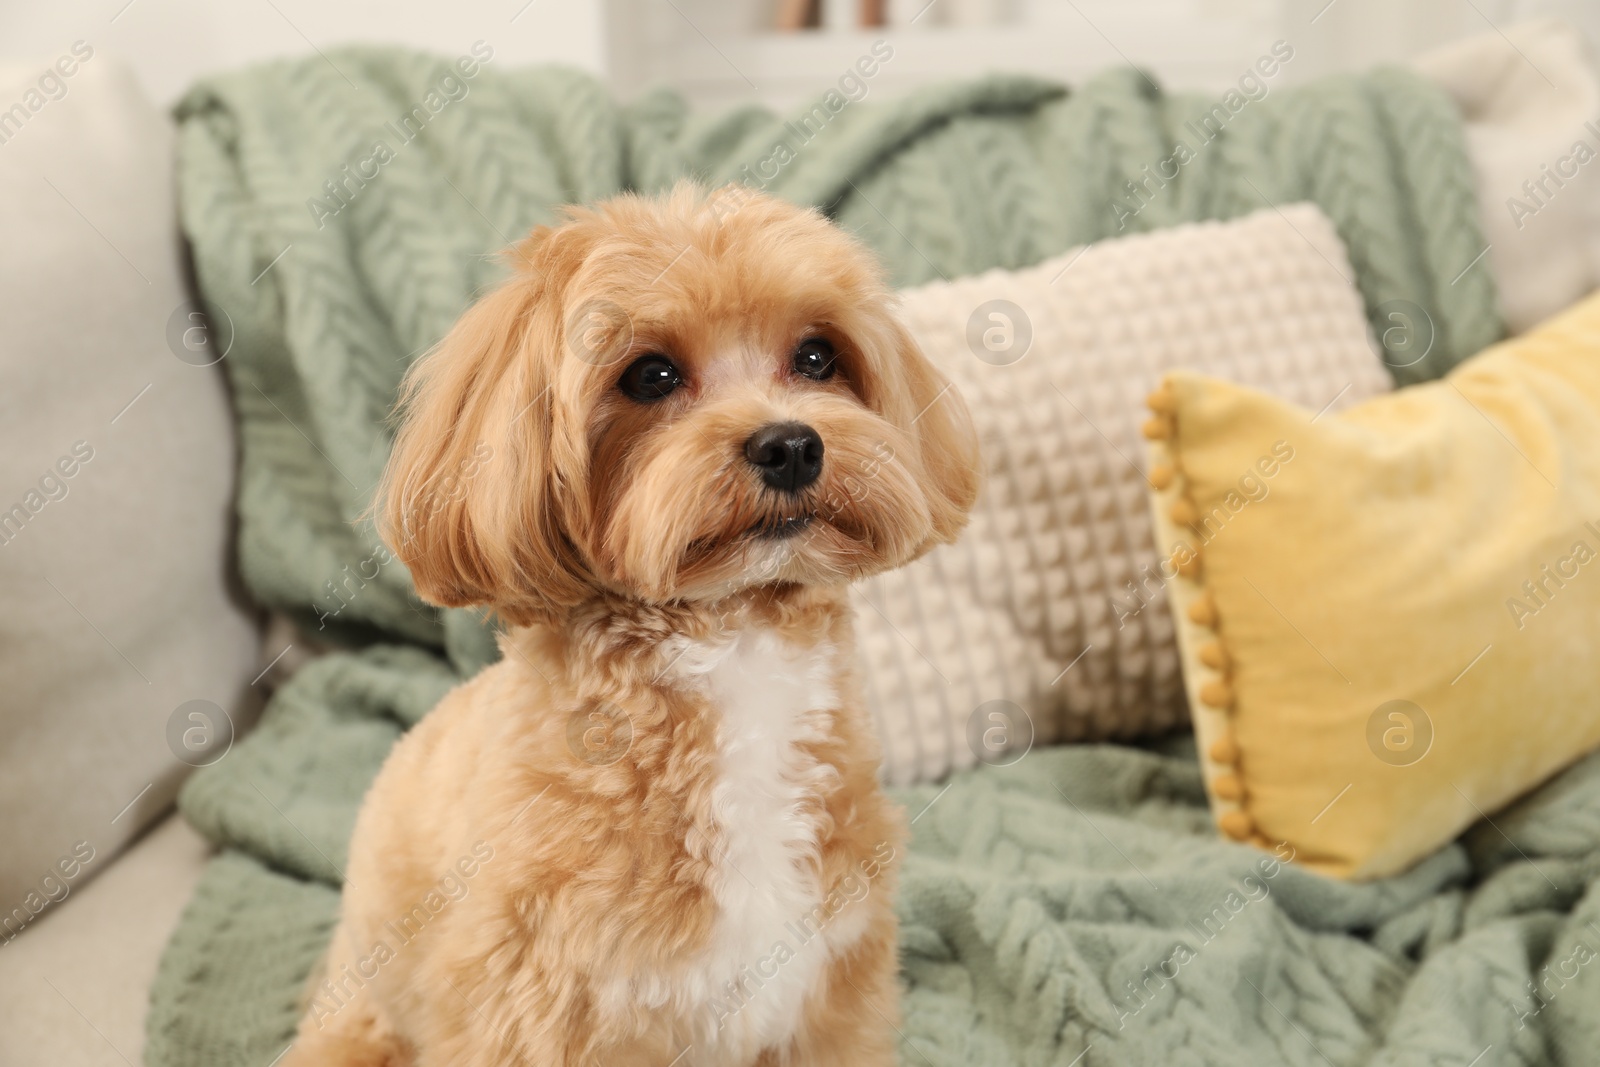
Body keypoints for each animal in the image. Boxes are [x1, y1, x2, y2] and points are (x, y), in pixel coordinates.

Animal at [283, 183, 979, 1067]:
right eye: (650, 375)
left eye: (819, 356)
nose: (790, 445)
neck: (732, 644)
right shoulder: (533, 1007)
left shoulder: (830, 991)